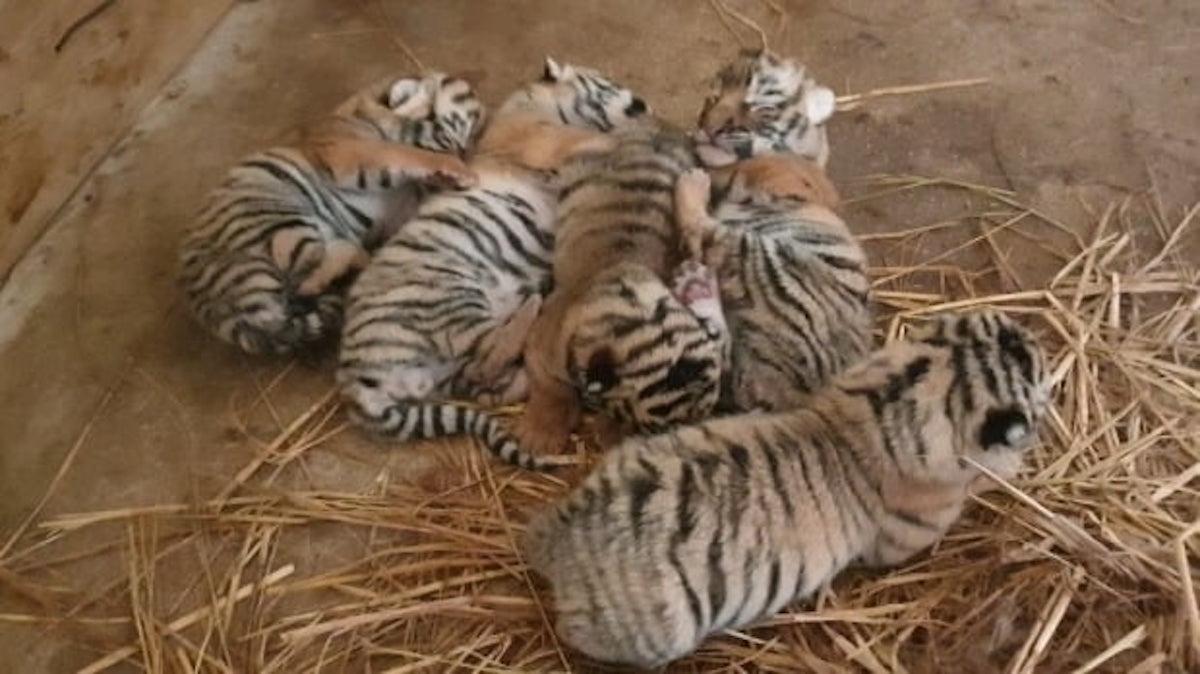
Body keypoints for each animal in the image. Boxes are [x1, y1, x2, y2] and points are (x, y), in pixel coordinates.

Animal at [179, 73, 483, 355]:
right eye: (449, 140)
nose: (466, 157)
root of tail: (202, 299)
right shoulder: (351, 153)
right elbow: (405, 154)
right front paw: (458, 171)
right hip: (281, 216)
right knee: (306, 275)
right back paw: (360, 261)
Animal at [336, 59, 653, 470]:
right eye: (608, 81)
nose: (643, 104)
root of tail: (353, 383)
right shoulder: (538, 137)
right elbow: (579, 139)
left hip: (448, 371)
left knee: (486, 379)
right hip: (447, 298)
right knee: (488, 354)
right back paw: (531, 307)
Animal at [514, 121, 729, 456]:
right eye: (655, 424)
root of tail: (663, 128)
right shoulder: (541, 344)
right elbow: (554, 388)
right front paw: (540, 435)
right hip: (587, 149)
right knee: (558, 141)